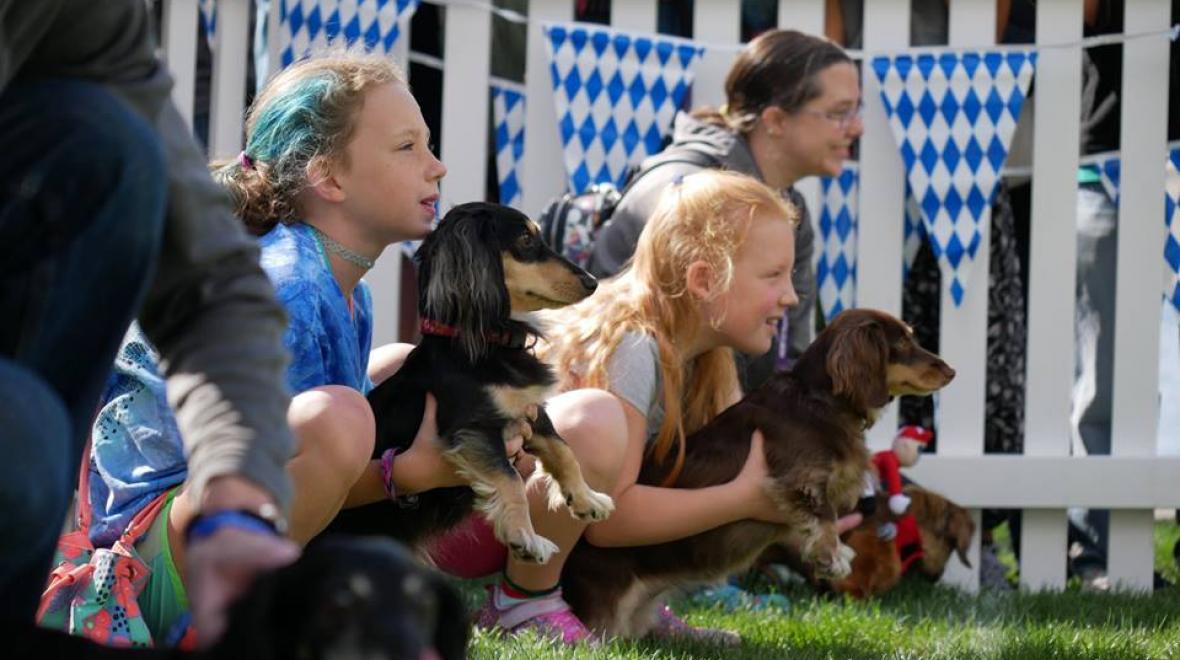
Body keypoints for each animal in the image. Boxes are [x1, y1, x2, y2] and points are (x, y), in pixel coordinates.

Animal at [330, 201, 613, 562]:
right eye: (525, 239)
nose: (593, 282)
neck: (486, 343)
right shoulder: (474, 428)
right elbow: (511, 479)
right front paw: (525, 536)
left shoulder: (529, 411)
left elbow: (564, 450)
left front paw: (586, 499)